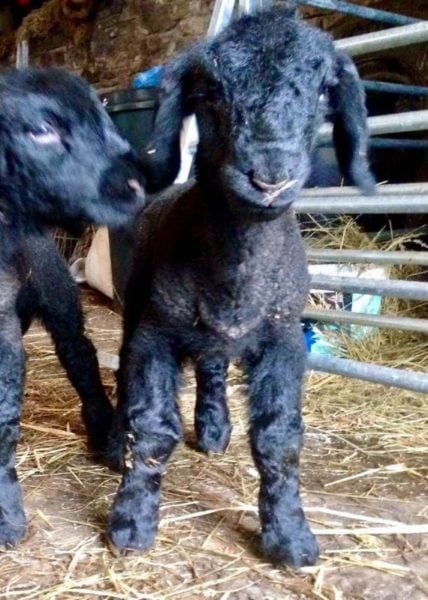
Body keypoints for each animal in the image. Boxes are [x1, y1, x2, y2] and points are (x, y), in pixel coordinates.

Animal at [0, 67, 145, 548]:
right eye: (41, 130)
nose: (137, 187)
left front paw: (6, 516)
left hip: (57, 292)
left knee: (80, 355)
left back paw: (103, 430)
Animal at [107, 7, 374, 564]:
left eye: (322, 89)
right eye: (210, 92)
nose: (270, 177)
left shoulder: (285, 340)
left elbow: (279, 439)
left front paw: (291, 537)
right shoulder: (154, 333)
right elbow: (152, 428)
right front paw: (131, 522)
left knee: (212, 368)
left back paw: (213, 429)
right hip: (136, 309)